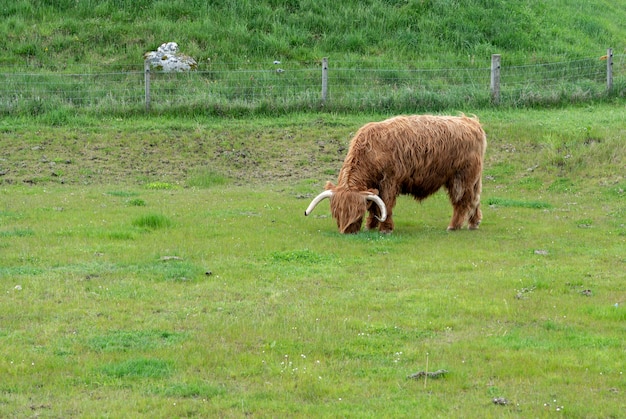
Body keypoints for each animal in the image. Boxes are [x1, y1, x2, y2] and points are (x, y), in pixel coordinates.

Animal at [304, 114, 486, 233]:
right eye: (336, 213)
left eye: (357, 213)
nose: (347, 231)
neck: (370, 151)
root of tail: (471, 122)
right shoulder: (374, 186)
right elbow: (375, 206)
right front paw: (370, 225)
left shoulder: (390, 180)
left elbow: (385, 203)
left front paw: (385, 228)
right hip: (474, 179)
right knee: (475, 199)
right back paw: (474, 223)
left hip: (461, 177)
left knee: (462, 201)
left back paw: (453, 226)